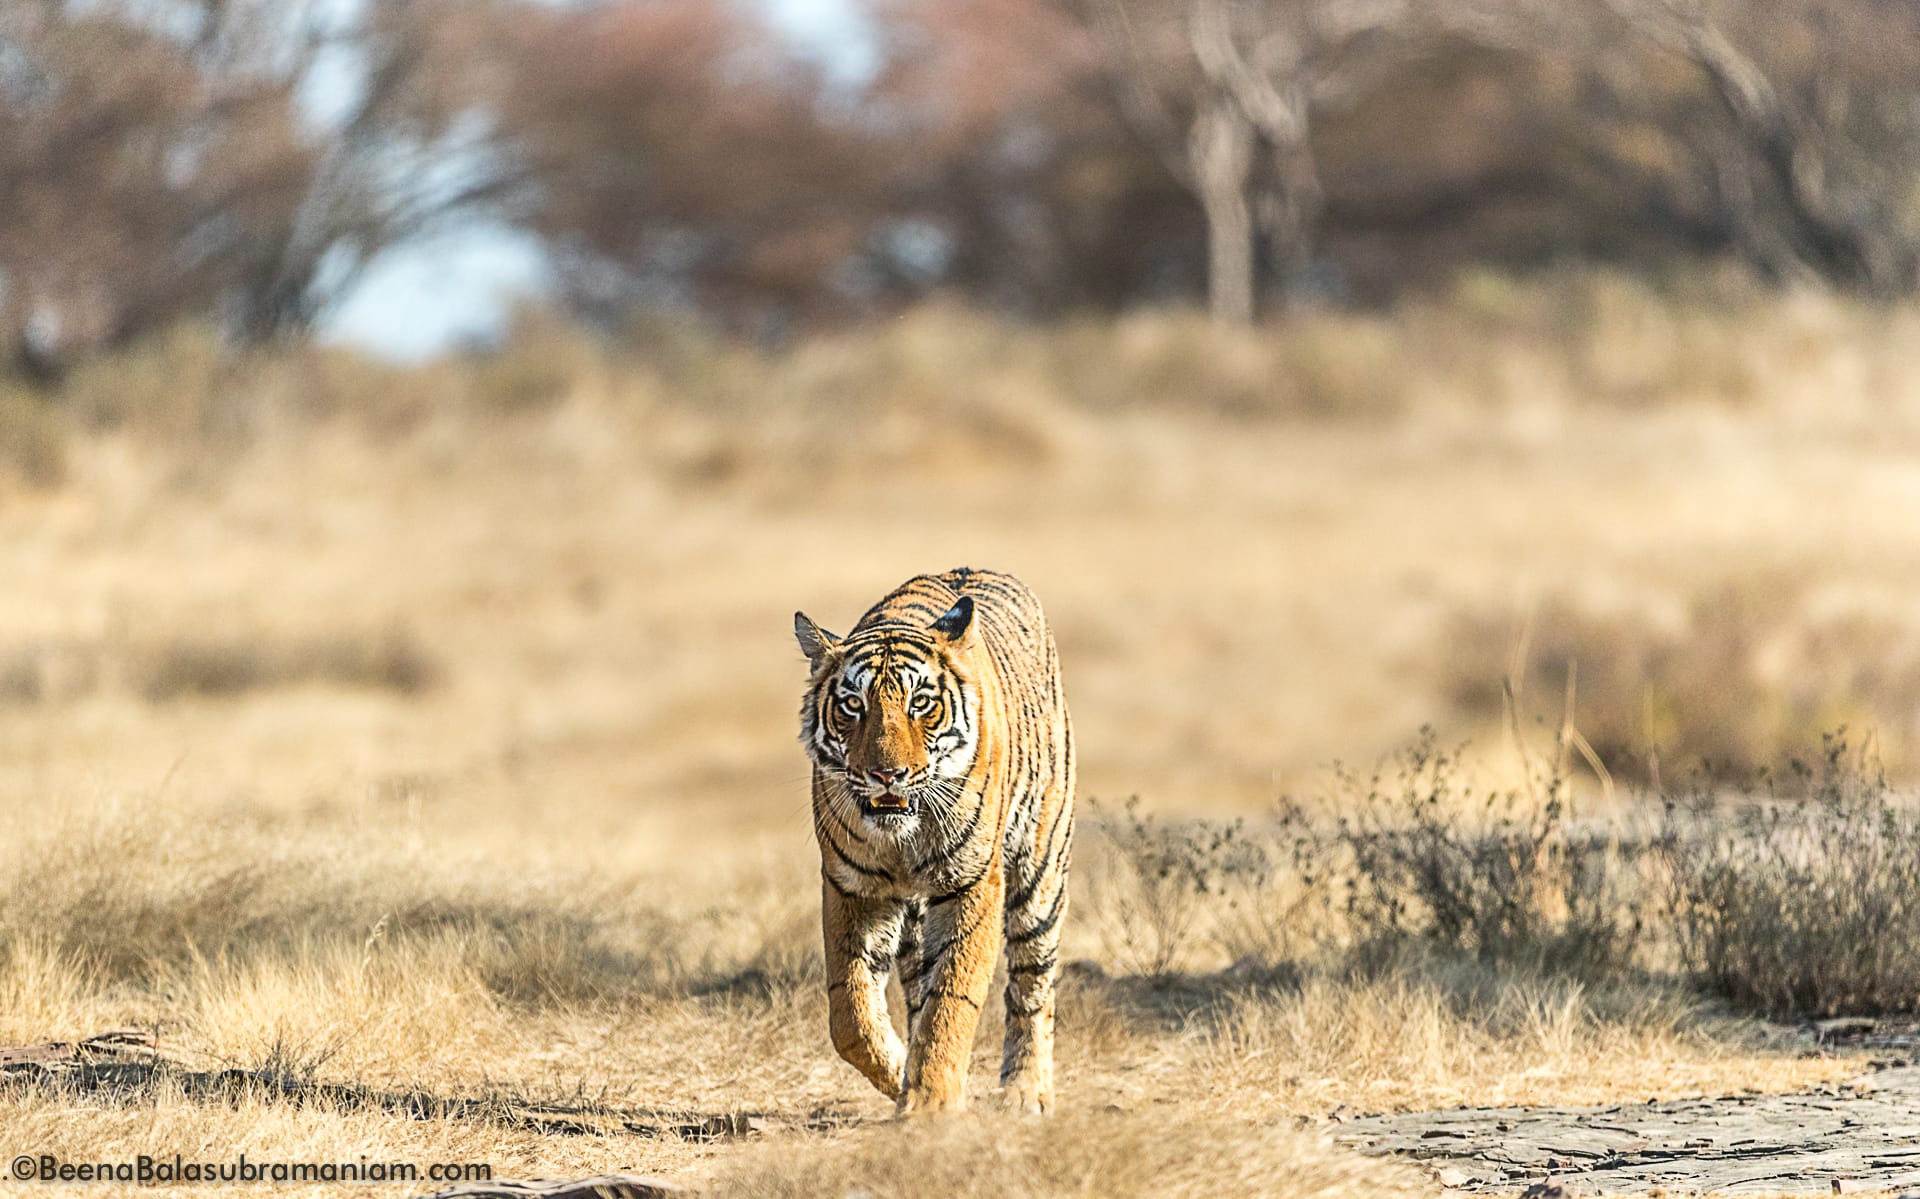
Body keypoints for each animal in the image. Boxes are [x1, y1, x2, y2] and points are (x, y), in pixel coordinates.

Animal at [791, 568, 1075, 1114]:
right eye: (853, 705)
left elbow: (952, 998)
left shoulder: (972, 883)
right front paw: (901, 1073)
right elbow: (850, 1013)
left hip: (1040, 873)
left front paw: (930, 1105)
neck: (902, 839)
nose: (886, 775)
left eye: (919, 703)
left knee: (1032, 987)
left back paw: (1025, 1092)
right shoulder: (852, 888)